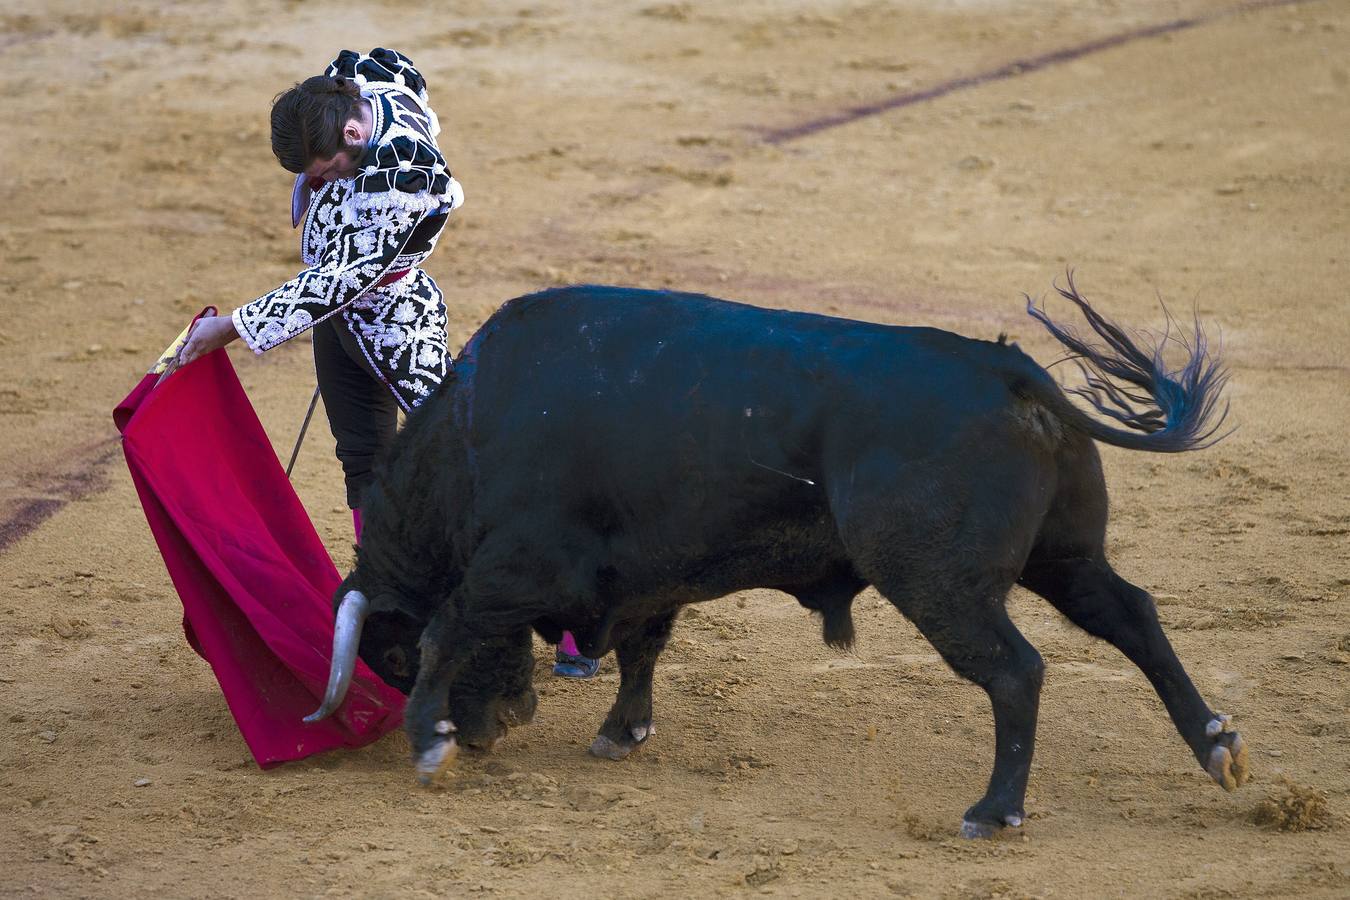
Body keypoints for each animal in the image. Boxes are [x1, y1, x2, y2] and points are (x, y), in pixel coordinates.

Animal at [303, 279, 1242, 836]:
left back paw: (995, 809)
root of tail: (1007, 369)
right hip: (1064, 556)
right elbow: (642, 650)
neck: (472, 433)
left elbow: (450, 628)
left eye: (388, 656)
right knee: (1132, 615)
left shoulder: (519, 566)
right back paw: (1217, 746)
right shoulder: (647, 579)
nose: (495, 731)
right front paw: (620, 734)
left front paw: (429, 743)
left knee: (1016, 671)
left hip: (937, 581)